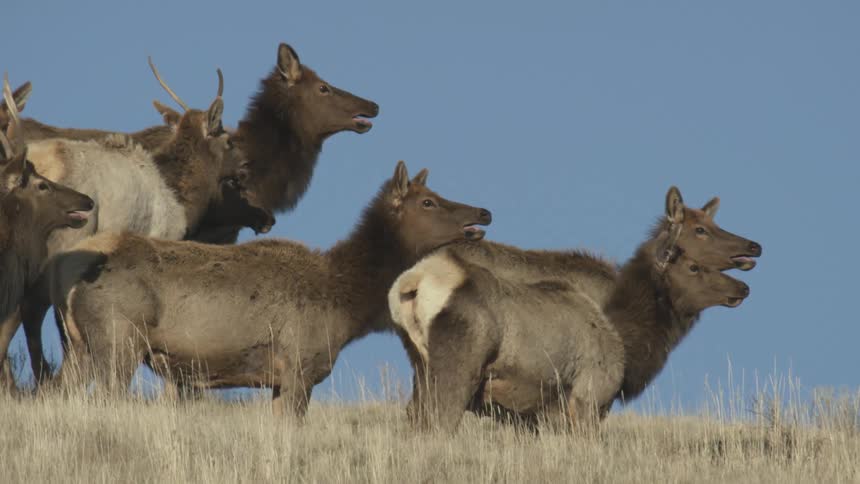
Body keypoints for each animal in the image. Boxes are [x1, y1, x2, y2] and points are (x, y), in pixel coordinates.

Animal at [47, 160, 490, 416]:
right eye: (429, 202)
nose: (483, 212)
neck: (348, 306)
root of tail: (65, 269)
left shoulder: (279, 380)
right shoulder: (300, 365)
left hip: (76, 344)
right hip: (118, 336)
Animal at [389, 187, 757, 432]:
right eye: (700, 232)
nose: (755, 247)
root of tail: (414, 280)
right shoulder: (587, 402)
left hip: (421, 365)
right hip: (460, 366)